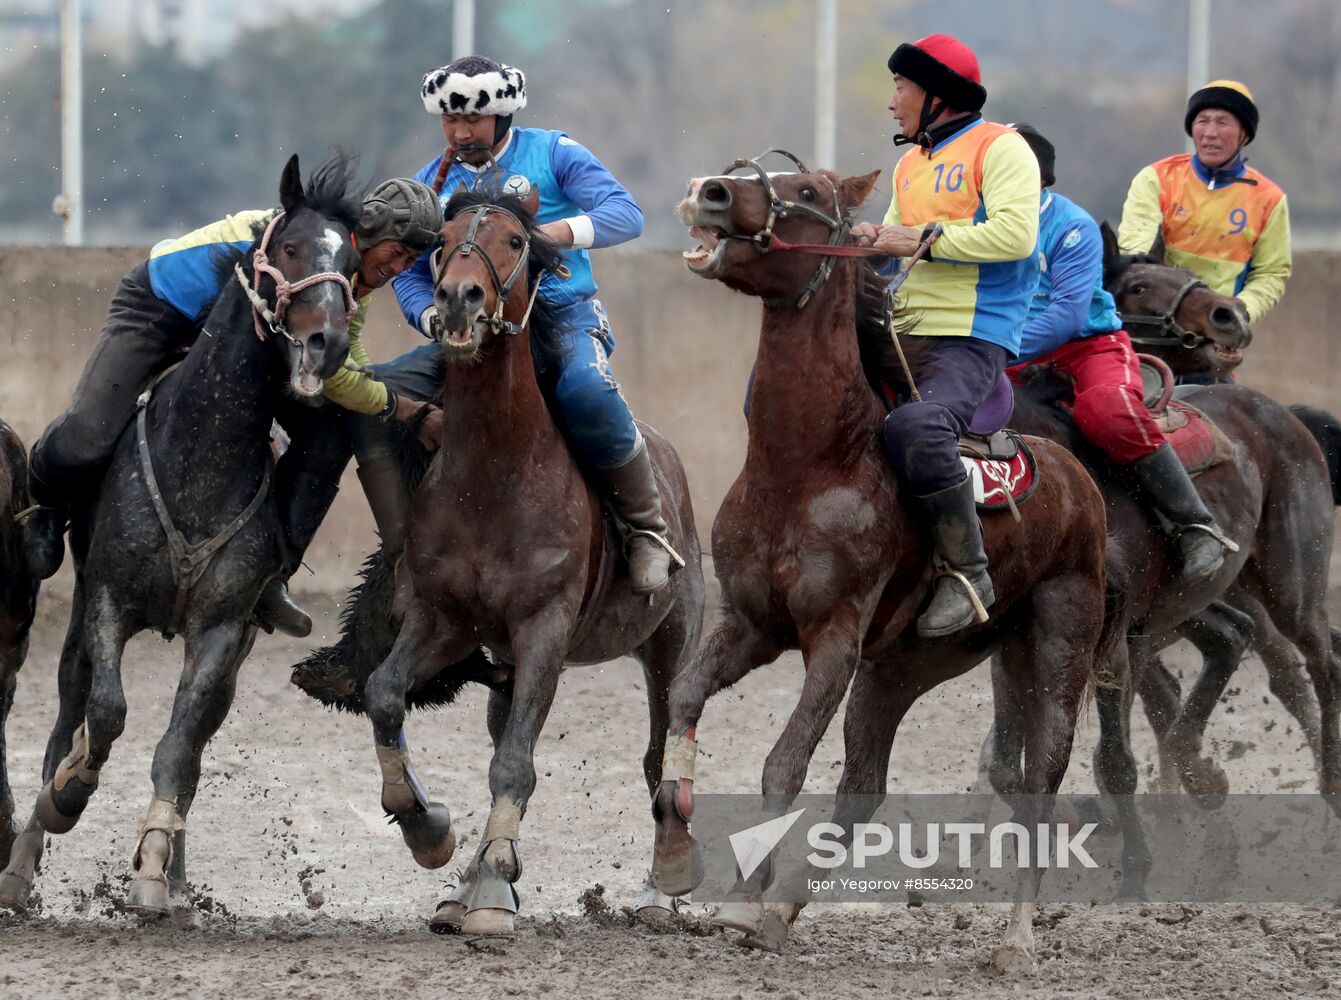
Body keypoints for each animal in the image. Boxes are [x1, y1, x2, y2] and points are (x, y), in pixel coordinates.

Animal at [0, 154, 359, 911]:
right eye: (289, 248)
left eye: (351, 261)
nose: (330, 342)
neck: (200, 455)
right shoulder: (108, 600)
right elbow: (105, 715)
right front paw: (66, 796)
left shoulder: (220, 629)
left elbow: (178, 746)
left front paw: (155, 869)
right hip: (75, 624)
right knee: (64, 721)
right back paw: (22, 861)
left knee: (192, 745)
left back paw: (174, 870)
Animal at [354, 184, 713, 932]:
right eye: (441, 241)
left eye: (516, 242)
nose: (458, 299)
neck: (494, 473)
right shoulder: (444, 621)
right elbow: (384, 695)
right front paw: (430, 832)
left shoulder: (543, 628)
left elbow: (516, 762)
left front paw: (493, 887)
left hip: (671, 642)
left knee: (662, 750)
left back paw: (663, 882)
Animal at [659, 152, 1121, 970]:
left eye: (807, 192)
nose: (707, 192)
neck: (813, 466)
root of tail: (1076, 479)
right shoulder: (749, 625)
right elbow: (685, 701)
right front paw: (683, 862)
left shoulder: (834, 640)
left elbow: (784, 762)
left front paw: (741, 903)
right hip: (906, 668)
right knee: (863, 787)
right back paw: (785, 909)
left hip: (1058, 652)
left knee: (1039, 783)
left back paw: (1015, 941)